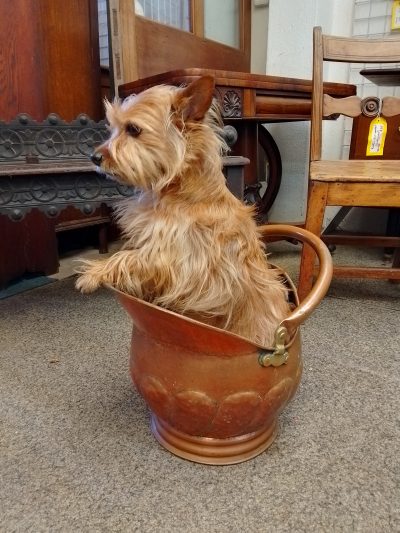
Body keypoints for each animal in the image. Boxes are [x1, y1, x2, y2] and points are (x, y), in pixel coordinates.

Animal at [74, 77, 288, 348]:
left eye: (133, 129)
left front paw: (93, 273)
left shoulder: (172, 261)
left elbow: (126, 257)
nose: (94, 157)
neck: (181, 193)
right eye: (113, 128)